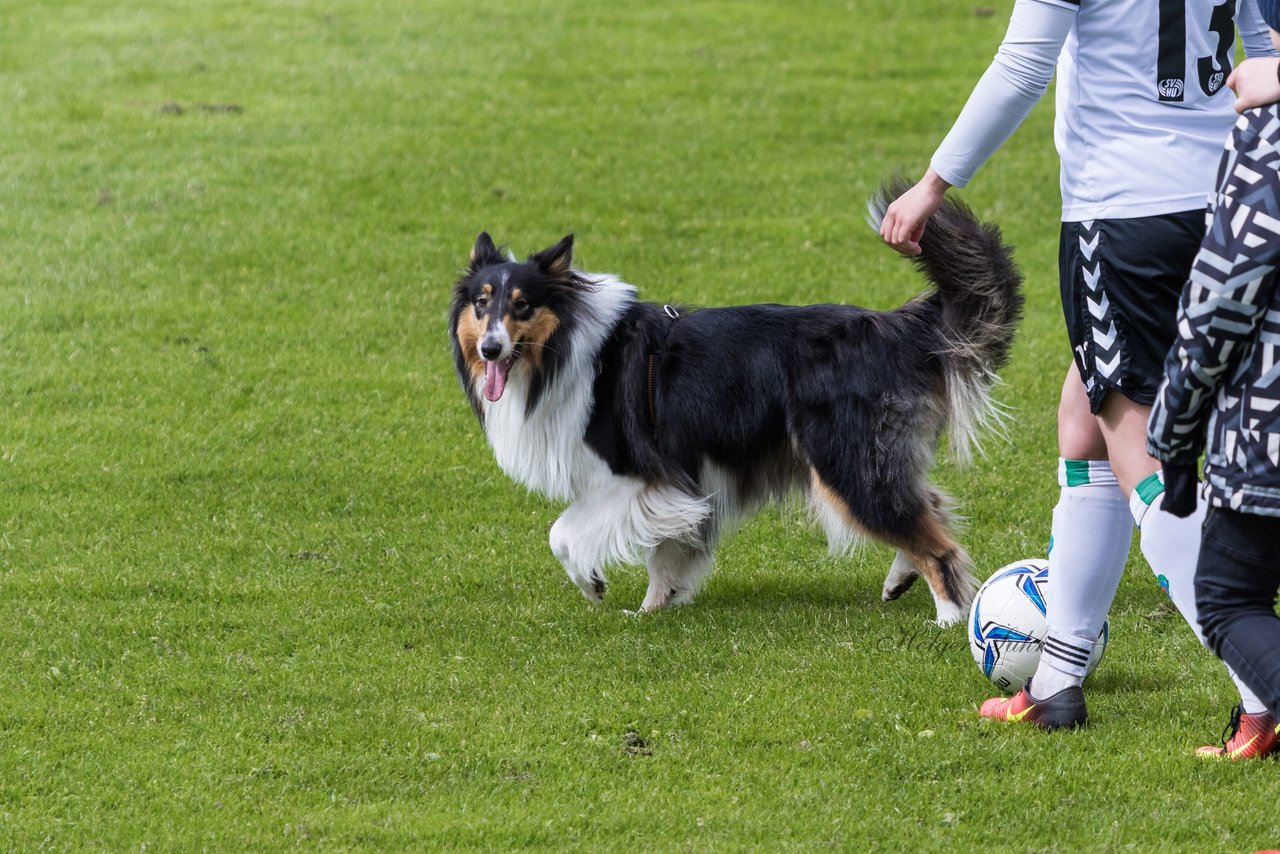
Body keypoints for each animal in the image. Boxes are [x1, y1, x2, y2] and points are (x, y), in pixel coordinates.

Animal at [450, 185, 1018, 627]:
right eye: (481, 303)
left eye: (523, 305)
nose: (491, 350)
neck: (567, 348)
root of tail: (892, 326)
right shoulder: (677, 481)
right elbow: (665, 554)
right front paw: (653, 609)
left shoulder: (637, 476)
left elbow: (562, 533)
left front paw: (593, 584)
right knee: (929, 505)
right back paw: (901, 579)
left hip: (844, 462)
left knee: (934, 539)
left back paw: (949, 618)